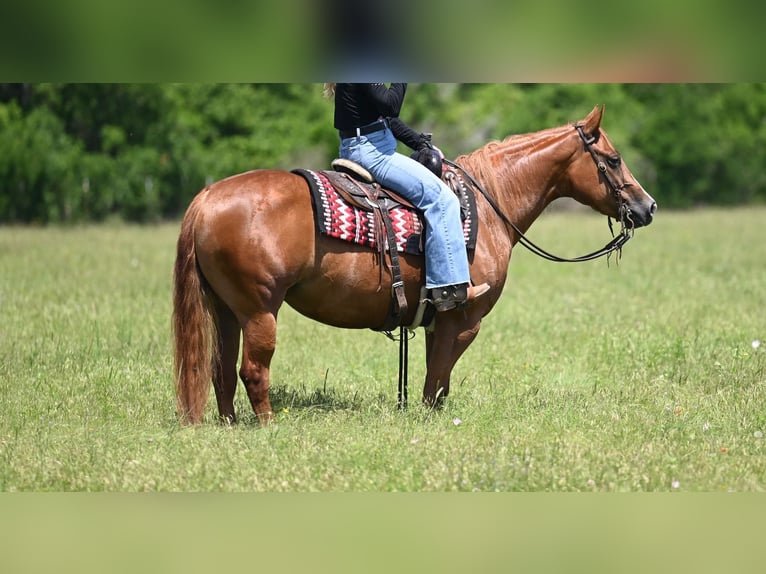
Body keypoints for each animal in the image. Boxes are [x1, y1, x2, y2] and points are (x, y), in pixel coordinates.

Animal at [172, 105, 657, 425]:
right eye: (613, 160)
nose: (646, 207)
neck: (487, 204)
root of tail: (208, 197)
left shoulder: (434, 320)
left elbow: (433, 378)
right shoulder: (462, 318)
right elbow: (437, 381)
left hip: (226, 310)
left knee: (220, 371)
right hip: (260, 310)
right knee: (252, 372)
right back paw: (270, 427)